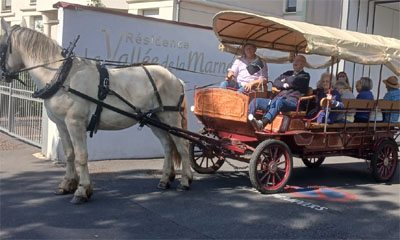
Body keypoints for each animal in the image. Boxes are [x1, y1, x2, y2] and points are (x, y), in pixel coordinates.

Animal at [0, 18, 194, 203]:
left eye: (1, 45)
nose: (3, 76)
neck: (62, 76)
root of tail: (175, 78)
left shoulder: (75, 123)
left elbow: (81, 156)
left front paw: (82, 190)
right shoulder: (61, 124)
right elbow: (69, 154)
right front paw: (67, 184)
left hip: (170, 117)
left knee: (182, 145)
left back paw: (185, 180)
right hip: (155, 119)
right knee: (168, 146)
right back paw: (165, 179)